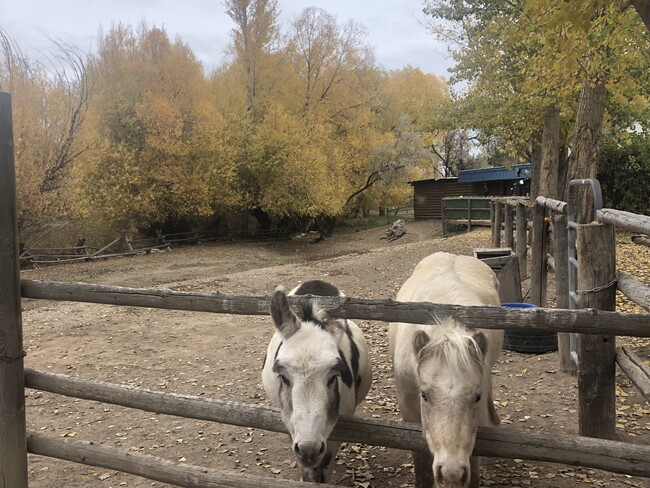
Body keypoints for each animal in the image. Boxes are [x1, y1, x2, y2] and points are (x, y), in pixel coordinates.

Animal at [258, 280, 370, 482]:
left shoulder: (334, 433)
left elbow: (324, 469)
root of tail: (317, 282)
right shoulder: (291, 425)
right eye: (283, 377)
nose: (308, 450)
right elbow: (308, 472)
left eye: (333, 377)